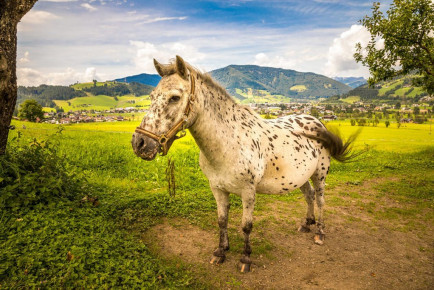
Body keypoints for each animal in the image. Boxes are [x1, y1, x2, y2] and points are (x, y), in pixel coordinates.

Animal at [132, 55, 360, 274]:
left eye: (175, 98)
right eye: (151, 97)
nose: (139, 143)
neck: (229, 142)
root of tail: (317, 121)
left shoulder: (248, 192)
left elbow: (246, 226)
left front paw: (245, 259)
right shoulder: (218, 189)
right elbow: (222, 220)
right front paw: (220, 252)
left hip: (319, 174)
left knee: (320, 200)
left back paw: (320, 232)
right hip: (300, 176)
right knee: (309, 195)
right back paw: (306, 224)